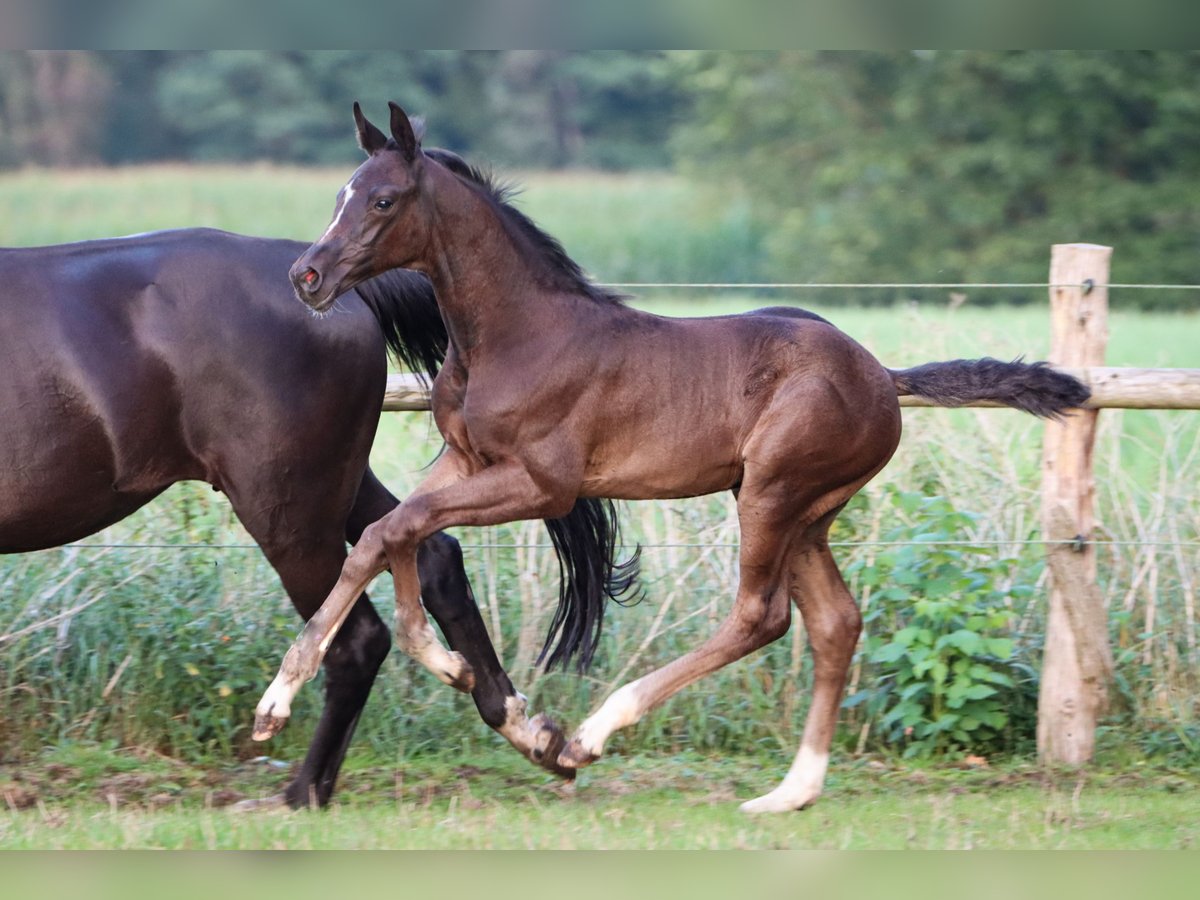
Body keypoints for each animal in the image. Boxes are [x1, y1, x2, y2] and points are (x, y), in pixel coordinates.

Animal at [258, 102, 1094, 816]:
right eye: (341, 193)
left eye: (383, 200)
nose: (307, 275)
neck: (519, 332)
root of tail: (884, 377)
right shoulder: (464, 462)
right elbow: (391, 532)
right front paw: (432, 667)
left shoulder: (544, 485)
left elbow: (404, 527)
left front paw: (288, 698)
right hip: (809, 513)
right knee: (836, 622)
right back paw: (792, 791)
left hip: (773, 494)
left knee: (761, 616)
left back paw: (593, 734)